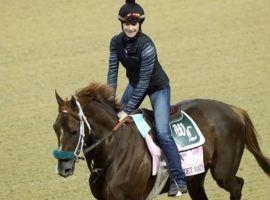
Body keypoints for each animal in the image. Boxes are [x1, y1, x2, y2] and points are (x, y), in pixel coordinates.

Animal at [52, 82, 270, 198]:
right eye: (55, 129)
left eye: (73, 131)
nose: (63, 168)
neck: (112, 154)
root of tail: (232, 109)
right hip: (195, 178)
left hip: (222, 172)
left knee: (238, 184)